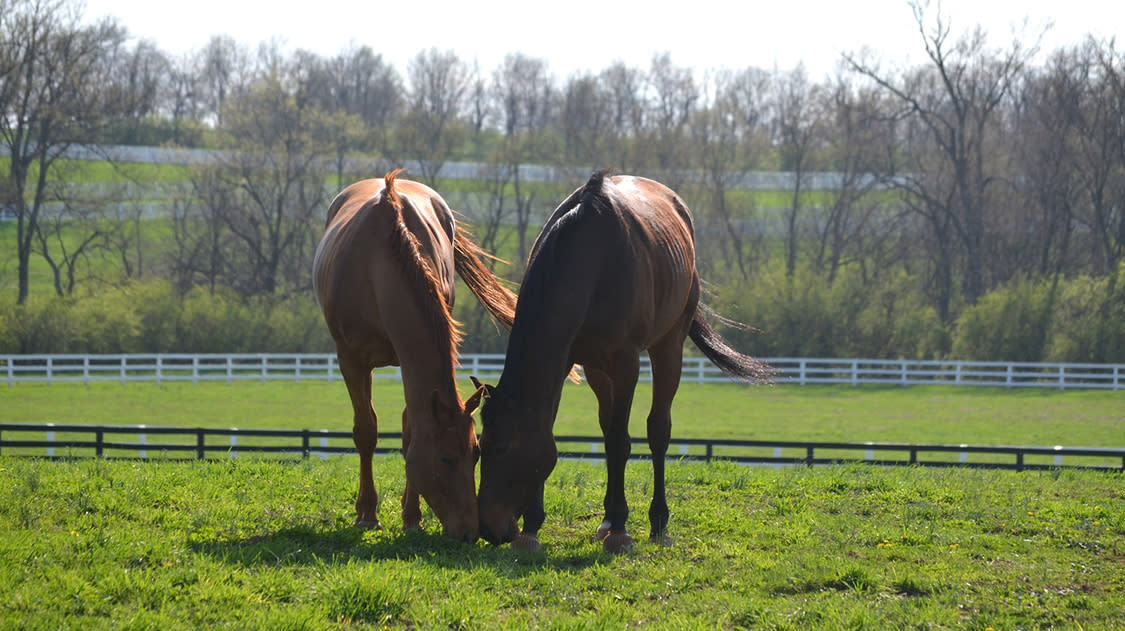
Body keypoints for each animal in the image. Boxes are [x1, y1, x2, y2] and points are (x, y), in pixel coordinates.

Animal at [313, 169, 516, 543]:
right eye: (447, 459)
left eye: (476, 453)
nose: (469, 532)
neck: (377, 264)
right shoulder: (351, 360)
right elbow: (366, 431)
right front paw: (367, 514)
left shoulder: (407, 363)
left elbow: (410, 436)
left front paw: (411, 518)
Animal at [473, 169, 771, 553]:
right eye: (481, 446)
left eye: (502, 448)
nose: (488, 529)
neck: (588, 260)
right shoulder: (568, 361)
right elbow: (553, 428)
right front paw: (533, 527)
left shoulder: (626, 363)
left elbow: (621, 441)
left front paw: (620, 529)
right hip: (598, 370)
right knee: (608, 426)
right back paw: (606, 519)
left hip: (667, 346)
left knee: (657, 430)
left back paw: (656, 522)